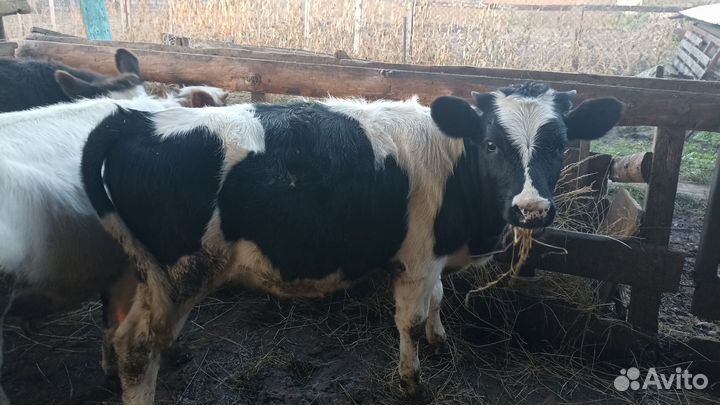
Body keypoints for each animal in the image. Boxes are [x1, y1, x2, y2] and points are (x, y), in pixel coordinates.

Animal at [80, 82, 623, 404]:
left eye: (560, 145)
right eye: (492, 144)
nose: (531, 209)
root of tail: (136, 119)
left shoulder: (435, 257)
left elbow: (438, 300)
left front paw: (440, 340)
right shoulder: (417, 259)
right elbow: (410, 319)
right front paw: (411, 380)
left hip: (140, 271)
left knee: (118, 325)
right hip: (179, 270)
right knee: (135, 345)